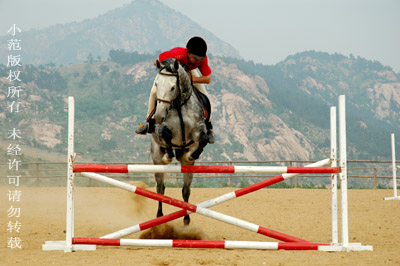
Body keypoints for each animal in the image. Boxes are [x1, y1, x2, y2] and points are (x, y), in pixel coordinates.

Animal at [151, 58, 209, 224]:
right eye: (157, 84)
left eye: (172, 87)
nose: (158, 116)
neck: (179, 105)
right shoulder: (163, 130)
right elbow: (166, 134)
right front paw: (168, 155)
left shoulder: (197, 129)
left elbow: (203, 138)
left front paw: (192, 154)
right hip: (156, 160)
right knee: (160, 188)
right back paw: (159, 216)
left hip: (187, 168)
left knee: (186, 190)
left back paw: (186, 218)